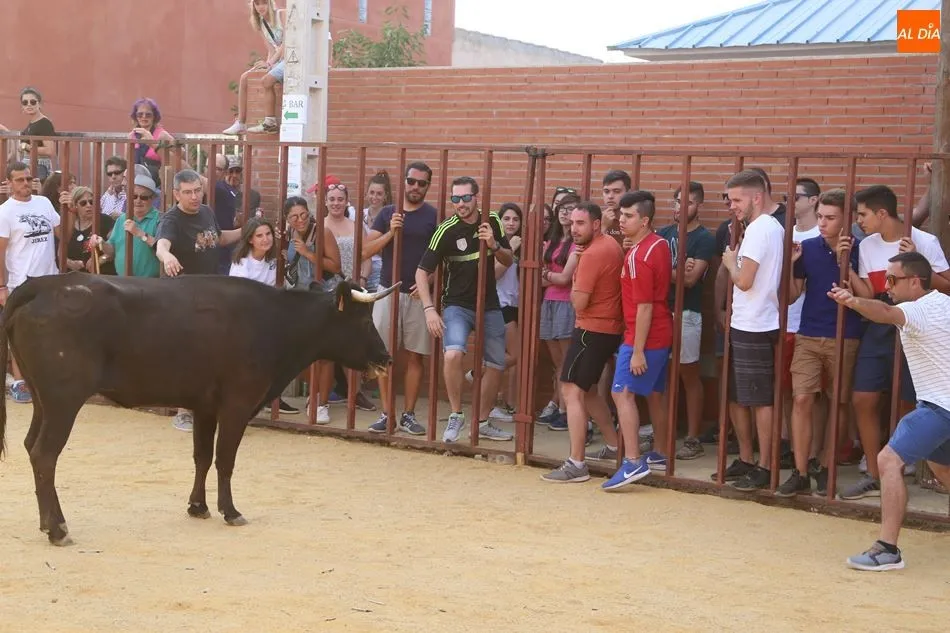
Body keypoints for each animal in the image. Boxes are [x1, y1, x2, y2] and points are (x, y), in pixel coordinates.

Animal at [0, 272, 398, 546]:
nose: (386, 358)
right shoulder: (237, 405)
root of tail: (45, 284)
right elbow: (225, 459)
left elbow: (202, 456)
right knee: (45, 453)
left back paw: (48, 522)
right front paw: (230, 511)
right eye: (364, 321)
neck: (275, 322)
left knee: (31, 447)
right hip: (63, 401)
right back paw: (57, 529)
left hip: (43, 400)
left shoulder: (205, 407)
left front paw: (198, 507)